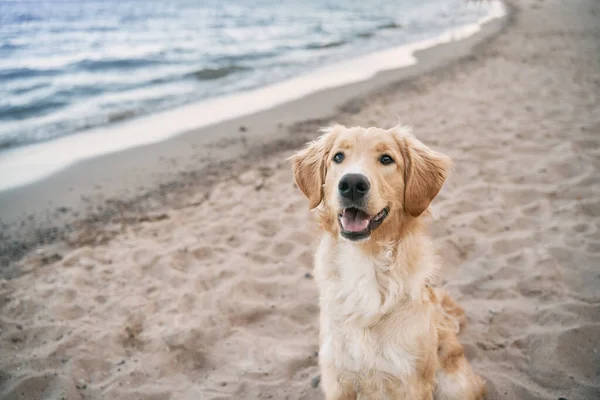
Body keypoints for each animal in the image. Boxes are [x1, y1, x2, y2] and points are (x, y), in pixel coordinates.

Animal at [288, 125, 486, 400]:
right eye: (338, 157)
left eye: (386, 159)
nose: (352, 183)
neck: (365, 260)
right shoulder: (337, 378)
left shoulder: (411, 381)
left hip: (455, 386)